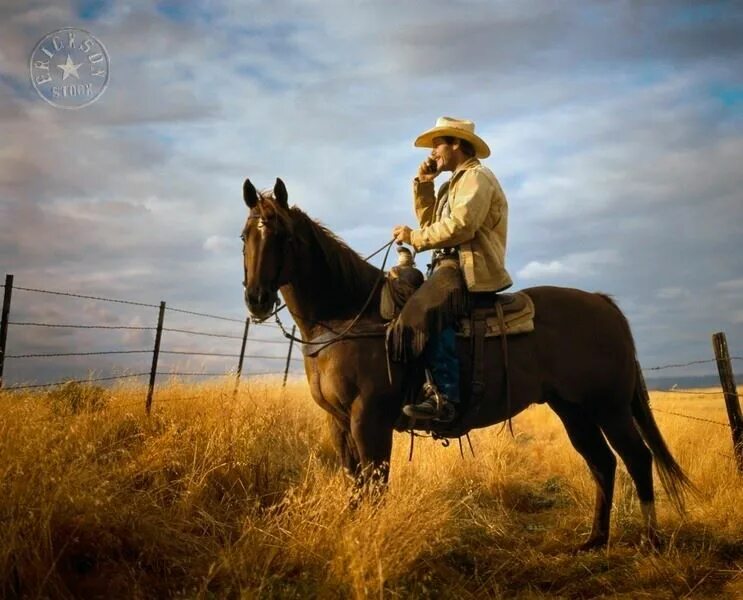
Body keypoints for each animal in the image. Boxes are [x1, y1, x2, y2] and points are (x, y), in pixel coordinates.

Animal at [241, 177, 696, 548]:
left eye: (282, 234)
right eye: (245, 234)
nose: (256, 299)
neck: (350, 314)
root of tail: (604, 304)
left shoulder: (368, 418)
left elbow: (375, 484)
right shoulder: (338, 422)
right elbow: (355, 483)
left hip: (610, 407)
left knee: (637, 459)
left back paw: (651, 540)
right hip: (573, 409)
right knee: (602, 462)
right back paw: (595, 540)